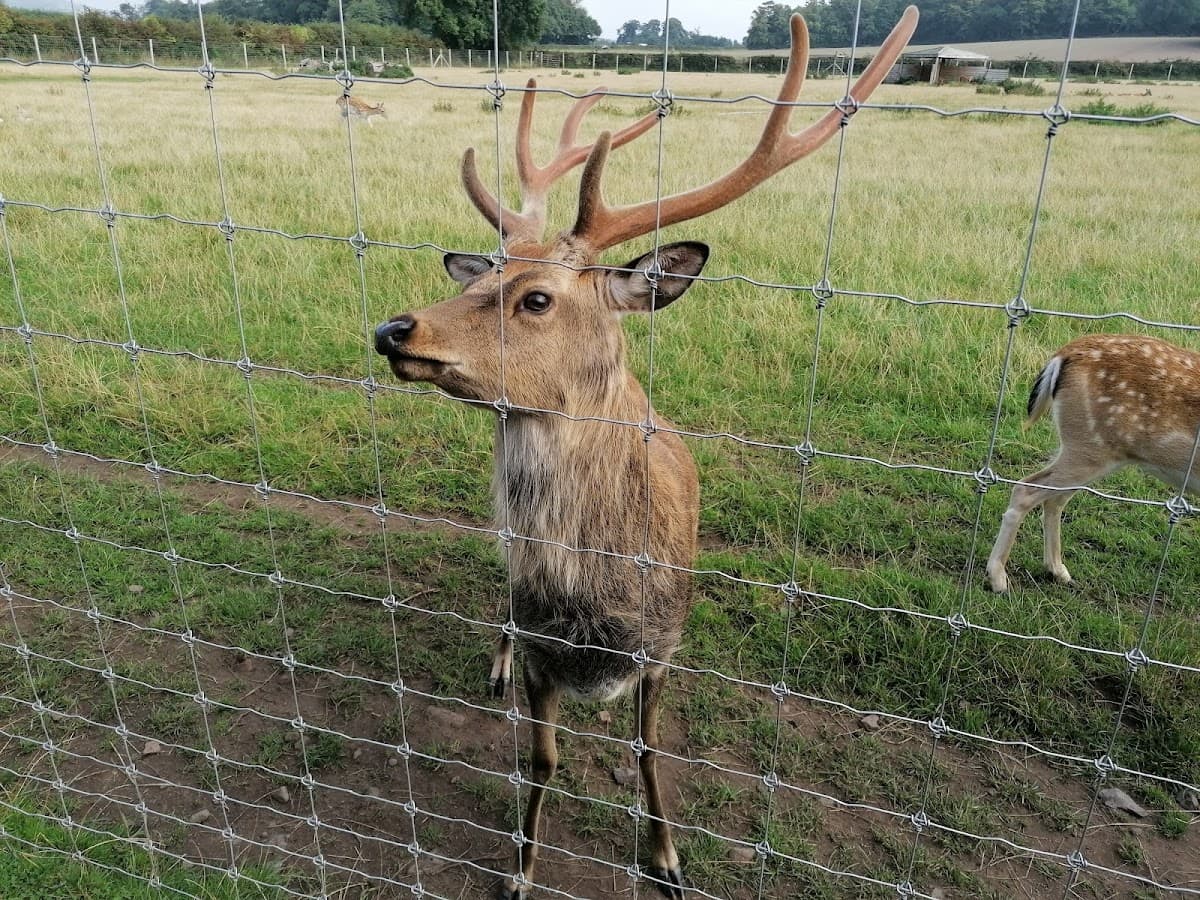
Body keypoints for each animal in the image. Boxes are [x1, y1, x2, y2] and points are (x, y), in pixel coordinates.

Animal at [373, 8, 918, 897]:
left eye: (535, 298)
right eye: (476, 279)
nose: (393, 329)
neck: (599, 609)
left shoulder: (664, 648)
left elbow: (649, 750)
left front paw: (666, 856)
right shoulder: (544, 650)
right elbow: (542, 759)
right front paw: (520, 868)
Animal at [986, 334, 1200, 593]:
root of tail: (1062, 355)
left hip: (1086, 450)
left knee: (1054, 499)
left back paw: (1058, 571)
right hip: (1088, 448)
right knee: (1026, 489)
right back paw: (998, 578)